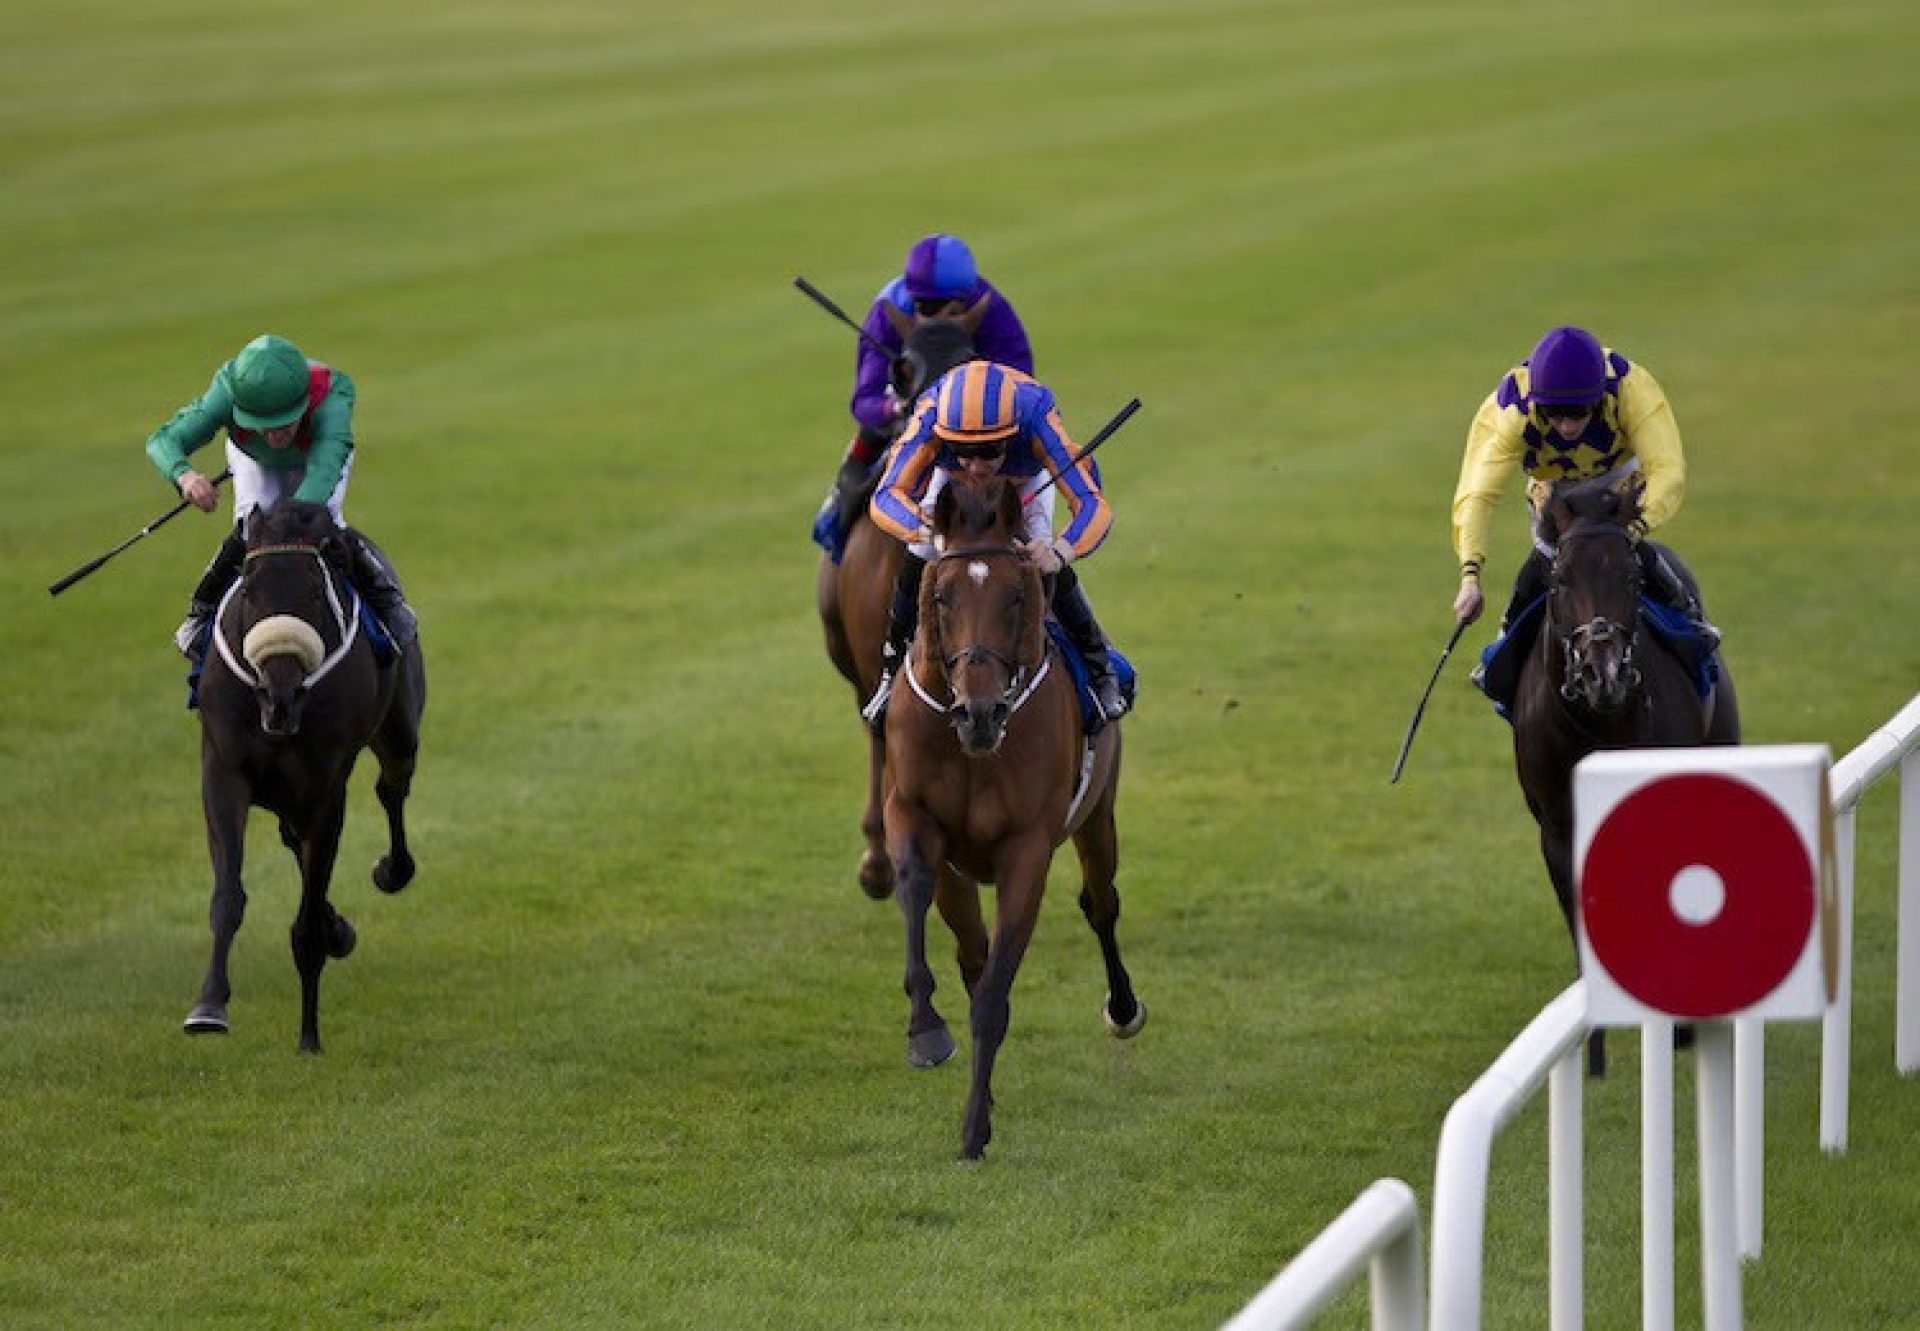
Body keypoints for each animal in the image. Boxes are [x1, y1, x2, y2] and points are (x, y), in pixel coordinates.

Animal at [186, 499, 428, 1052]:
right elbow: (228, 895)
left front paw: (309, 1038)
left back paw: (390, 872)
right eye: (248, 590)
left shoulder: (324, 790)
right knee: (295, 840)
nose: (280, 697)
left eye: (317, 592)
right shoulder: (223, 771)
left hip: (399, 730)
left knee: (392, 787)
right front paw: (209, 1007)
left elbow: (307, 918)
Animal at [879, 474, 1144, 1152]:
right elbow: (916, 896)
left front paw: (974, 1130)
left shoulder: (1027, 850)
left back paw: (1123, 1009)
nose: (980, 713)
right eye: (939, 596)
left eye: (1017, 595)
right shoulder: (912, 815)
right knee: (972, 951)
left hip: (1098, 812)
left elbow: (995, 993)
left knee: (1101, 903)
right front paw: (926, 1031)